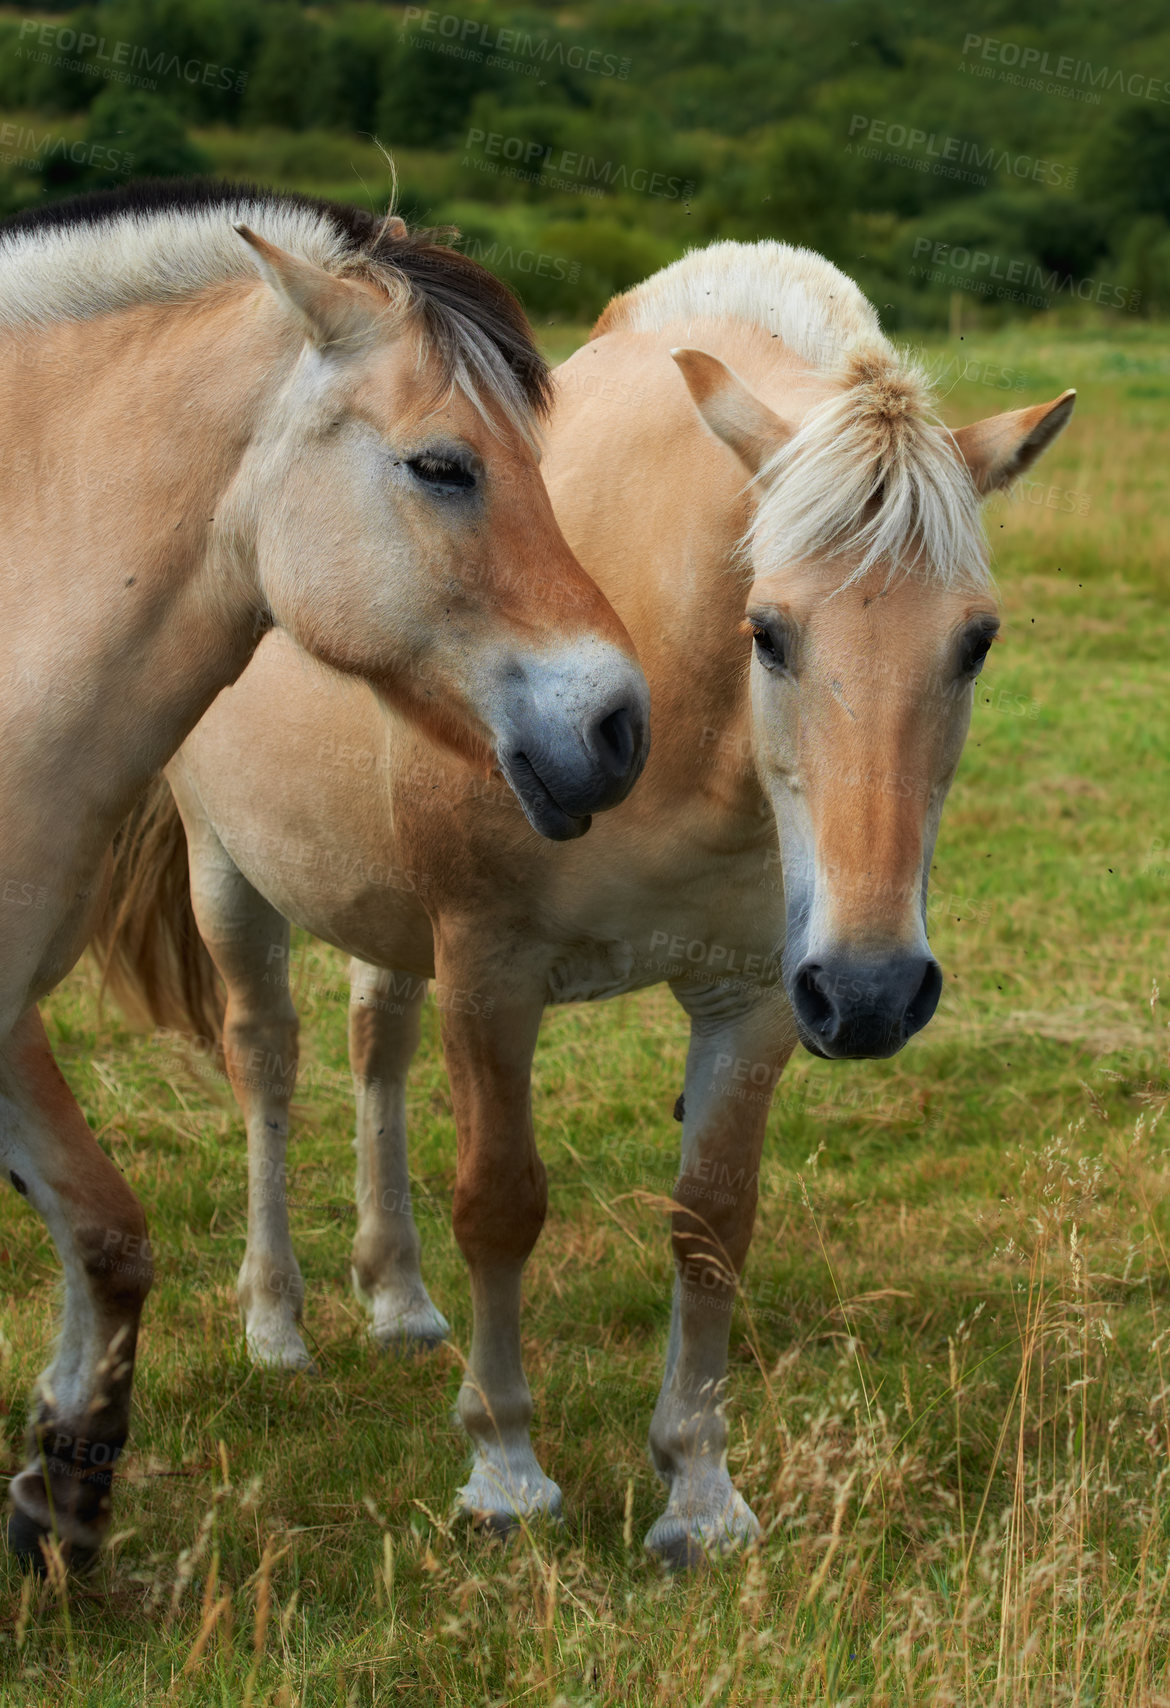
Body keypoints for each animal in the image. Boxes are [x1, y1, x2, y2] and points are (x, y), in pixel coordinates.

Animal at [100, 237, 1065, 1564]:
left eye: (975, 641)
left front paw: (700, 1495)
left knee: (375, 1049)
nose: (872, 990)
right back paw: (278, 1324)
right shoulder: (492, 973)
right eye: (770, 632)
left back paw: (398, 1301)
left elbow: (711, 1221)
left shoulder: (756, 995)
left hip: (386, 916)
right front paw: (505, 1473)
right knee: (267, 1060)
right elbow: (501, 1205)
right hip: (228, 877)